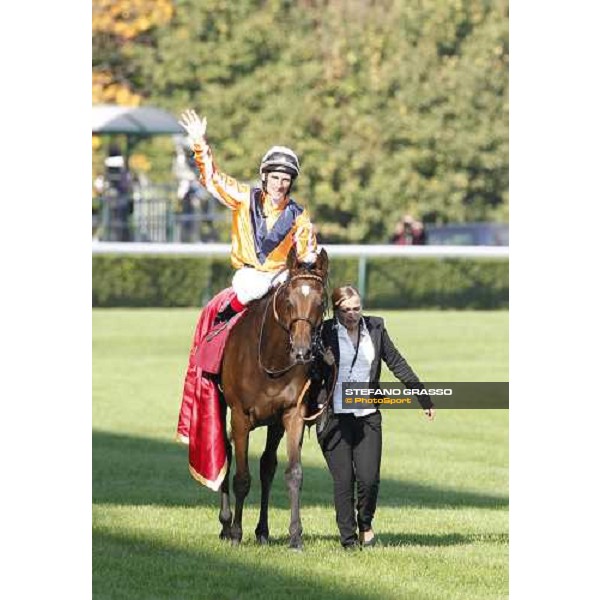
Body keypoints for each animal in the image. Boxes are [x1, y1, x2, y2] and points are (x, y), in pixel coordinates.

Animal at [217, 245, 326, 548]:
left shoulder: (292, 413)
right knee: (225, 450)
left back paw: (262, 531)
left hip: (274, 424)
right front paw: (236, 533)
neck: (271, 359)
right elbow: (242, 477)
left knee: (267, 467)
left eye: (321, 301)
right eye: (288, 299)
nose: (302, 351)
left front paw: (295, 536)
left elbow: (293, 473)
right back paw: (226, 525)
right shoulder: (240, 416)